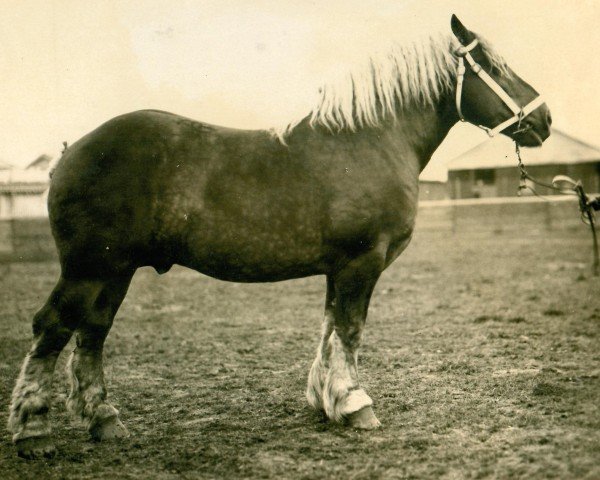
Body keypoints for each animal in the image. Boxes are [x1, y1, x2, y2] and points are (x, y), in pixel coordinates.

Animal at [10, 15, 552, 458]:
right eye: (493, 66)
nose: (544, 120)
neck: (372, 140)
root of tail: (70, 153)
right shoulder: (362, 261)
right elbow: (350, 330)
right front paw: (356, 405)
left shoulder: (339, 267)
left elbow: (330, 327)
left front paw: (326, 401)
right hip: (89, 269)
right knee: (51, 327)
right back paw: (32, 430)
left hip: (115, 272)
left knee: (91, 334)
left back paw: (104, 421)